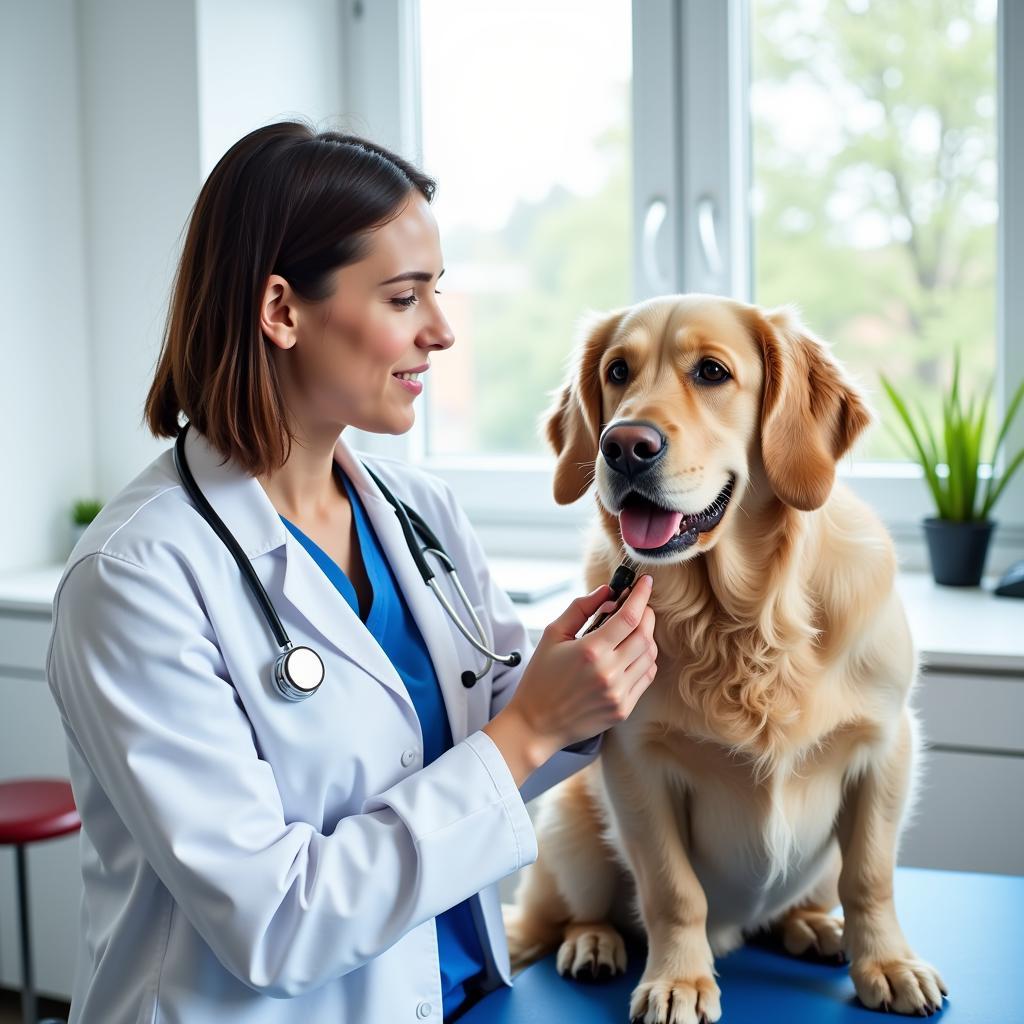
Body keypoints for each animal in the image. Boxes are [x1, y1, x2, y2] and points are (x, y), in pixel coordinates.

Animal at [507, 292, 946, 1019]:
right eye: (618, 372)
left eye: (712, 372)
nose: (623, 446)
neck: (741, 618)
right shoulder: (635, 763)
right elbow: (672, 890)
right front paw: (679, 980)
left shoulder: (886, 747)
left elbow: (871, 876)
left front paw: (887, 963)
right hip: (570, 822)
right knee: (573, 910)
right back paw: (594, 942)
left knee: (811, 899)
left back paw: (813, 926)